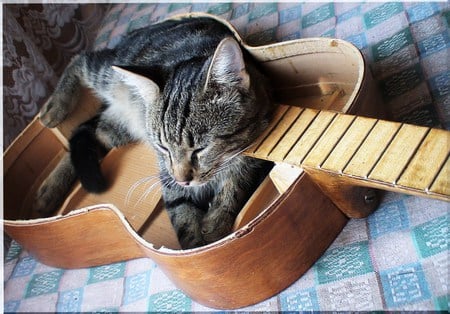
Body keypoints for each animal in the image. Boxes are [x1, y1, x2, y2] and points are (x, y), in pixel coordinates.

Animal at [34, 15, 274, 249]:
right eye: (162, 148)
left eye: (200, 149)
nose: (182, 180)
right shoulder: (168, 178)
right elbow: (183, 218)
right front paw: (197, 247)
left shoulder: (253, 161)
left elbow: (232, 191)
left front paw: (215, 227)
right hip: (108, 73)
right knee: (81, 58)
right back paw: (54, 108)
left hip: (117, 130)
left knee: (91, 134)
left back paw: (48, 191)